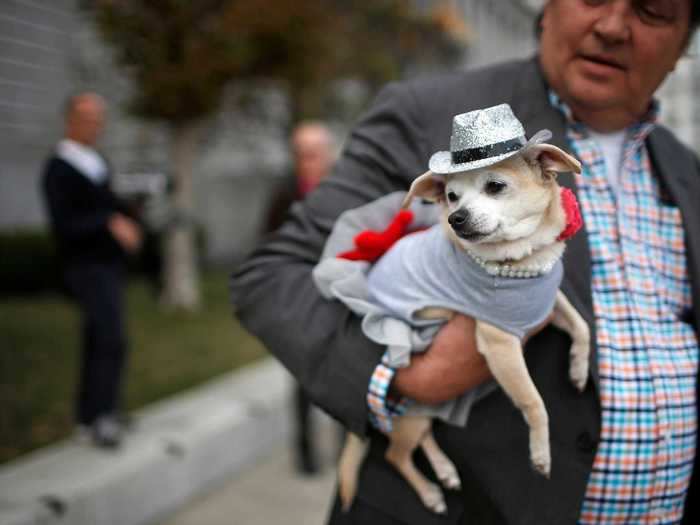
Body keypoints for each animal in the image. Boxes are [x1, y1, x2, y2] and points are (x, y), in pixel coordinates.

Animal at [334, 130, 592, 512]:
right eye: (451, 196)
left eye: (495, 186)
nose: (455, 217)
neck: (521, 262)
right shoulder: (501, 345)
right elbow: (534, 402)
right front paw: (540, 454)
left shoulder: (547, 305)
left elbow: (581, 326)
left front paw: (577, 370)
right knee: (396, 455)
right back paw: (430, 492)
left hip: (422, 407)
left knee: (419, 438)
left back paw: (444, 470)